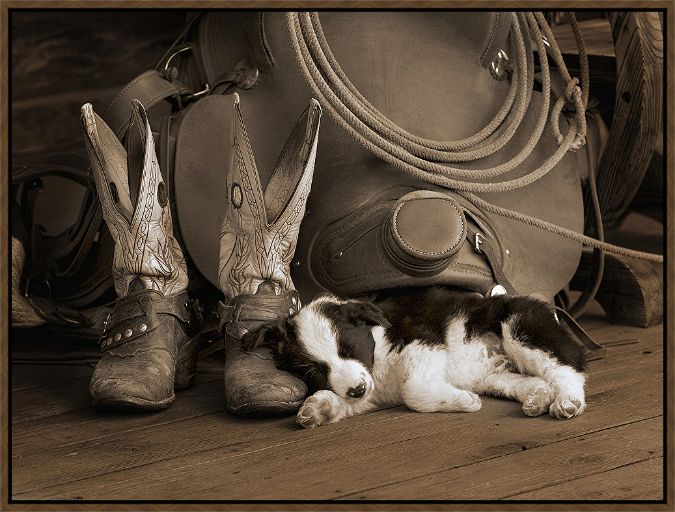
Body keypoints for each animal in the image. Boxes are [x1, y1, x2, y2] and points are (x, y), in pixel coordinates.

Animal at [243, 288, 588, 428]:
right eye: (315, 370)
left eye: (348, 350)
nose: (356, 389)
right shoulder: (372, 389)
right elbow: (352, 400)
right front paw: (321, 409)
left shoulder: (422, 341)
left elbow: (414, 391)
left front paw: (464, 402)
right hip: (494, 375)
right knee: (532, 379)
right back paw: (537, 397)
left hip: (520, 327)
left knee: (565, 369)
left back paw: (567, 401)